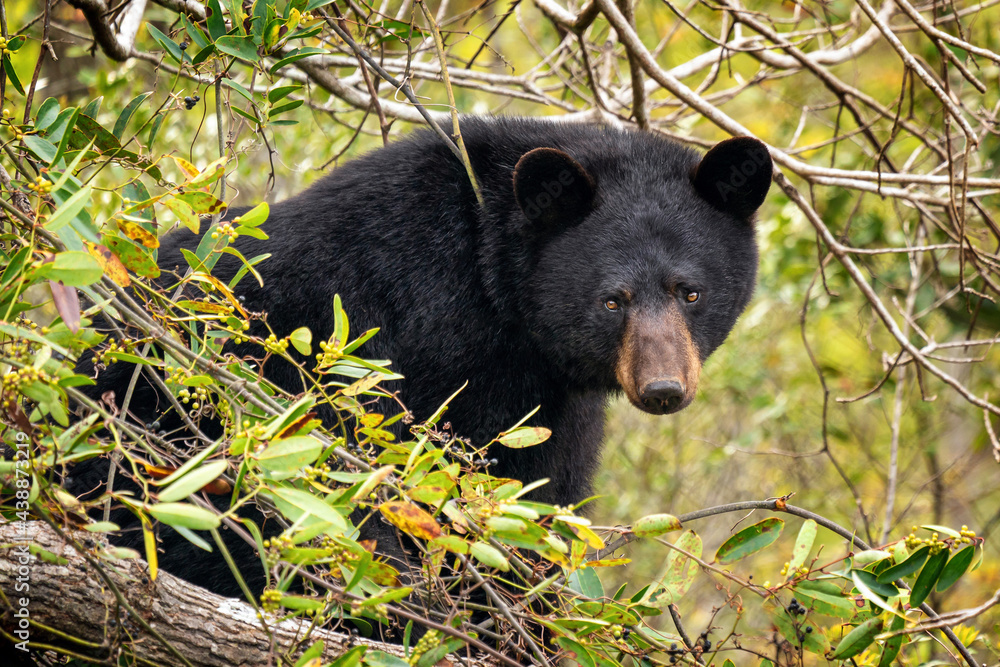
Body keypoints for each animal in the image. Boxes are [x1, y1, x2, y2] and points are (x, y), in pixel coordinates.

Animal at [70, 118, 772, 600]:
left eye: (691, 292)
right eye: (612, 300)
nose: (663, 388)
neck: (497, 292)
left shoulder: (550, 400)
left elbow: (539, 496)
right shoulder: (422, 339)